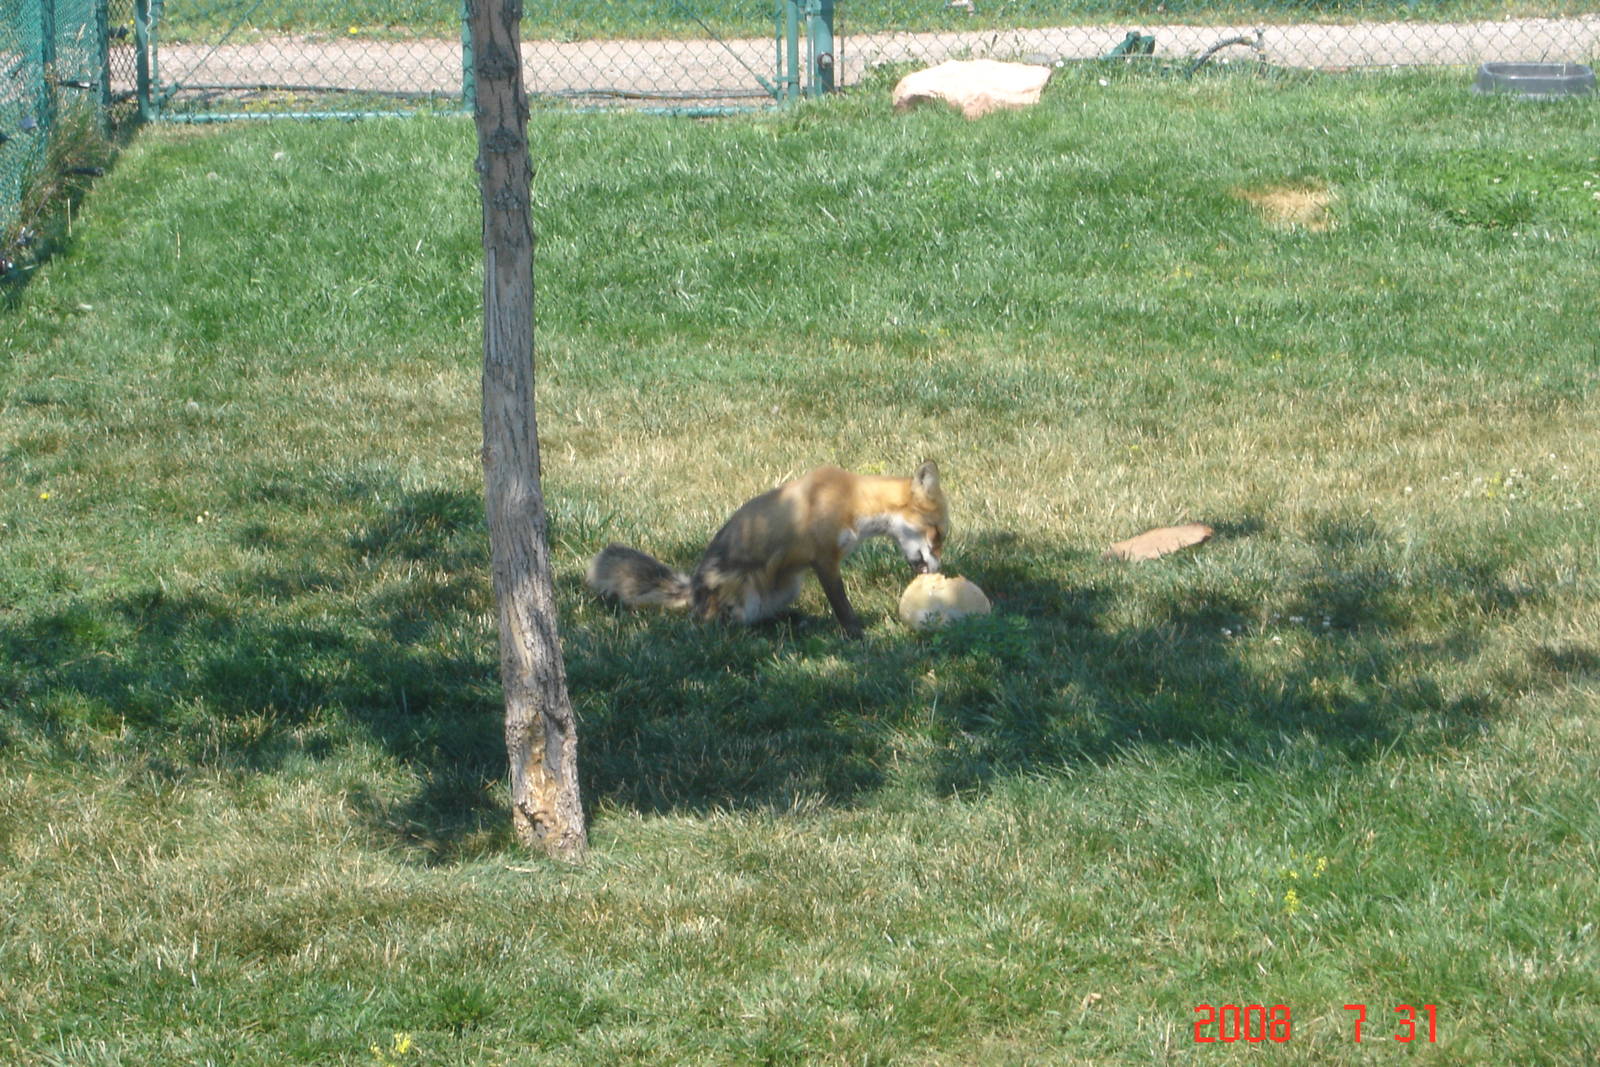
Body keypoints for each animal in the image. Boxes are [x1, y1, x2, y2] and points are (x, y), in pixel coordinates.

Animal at [587, 461, 949, 639]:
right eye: (939, 535)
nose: (940, 571)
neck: (852, 501)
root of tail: (694, 588)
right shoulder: (824, 559)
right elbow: (842, 604)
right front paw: (858, 635)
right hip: (739, 586)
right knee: (709, 623)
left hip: (789, 586)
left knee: (763, 616)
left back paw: (794, 622)